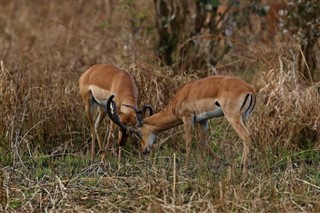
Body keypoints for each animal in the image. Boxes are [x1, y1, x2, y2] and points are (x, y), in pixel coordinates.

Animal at [106, 76, 256, 168]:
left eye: (138, 133)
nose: (144, 151)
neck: (179, 98)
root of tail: (249, 89)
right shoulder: (203, 120)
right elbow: (202, 142)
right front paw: (219, 163)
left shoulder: (187, 118)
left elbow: (188, 142)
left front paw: (186, 167)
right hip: (244, 118)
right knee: (246, 138)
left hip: (233, 118)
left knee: (246, 137)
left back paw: (244, 167)